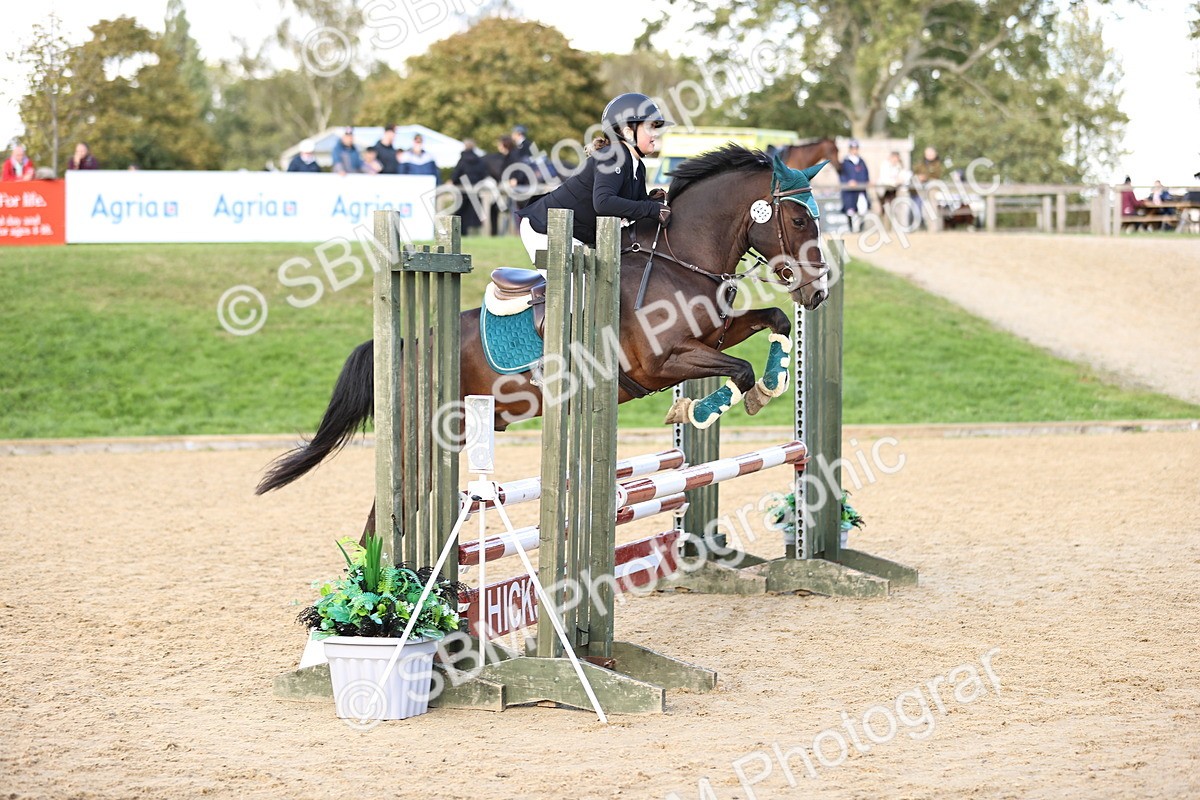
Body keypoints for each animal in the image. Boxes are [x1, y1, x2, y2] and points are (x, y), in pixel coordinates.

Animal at [256, 145, 831, 496]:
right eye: (798, 218)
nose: (819, 290)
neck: (678, 260)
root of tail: (402, 345)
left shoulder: (715, 334)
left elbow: (774, 321)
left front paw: (771, 383)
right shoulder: (660, 364)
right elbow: (738, 371)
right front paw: (700, 409)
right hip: (425, 438)